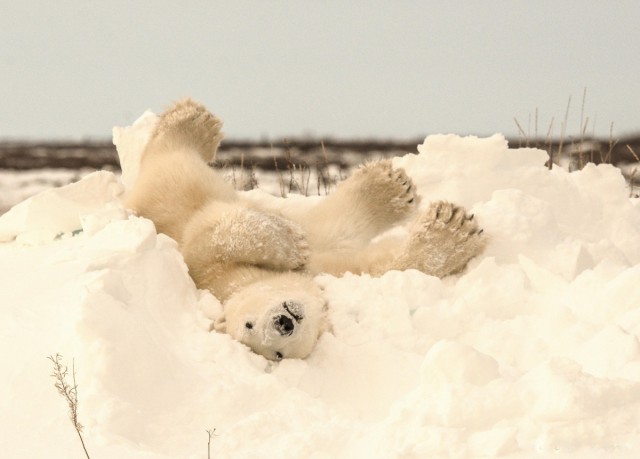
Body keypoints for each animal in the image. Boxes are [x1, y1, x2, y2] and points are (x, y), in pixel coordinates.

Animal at [125, 99, 484, 362]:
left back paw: (193, 120)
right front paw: (451, 233)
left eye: (249, 321)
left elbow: (206, 236)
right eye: (276, 354)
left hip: (172, 189)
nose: (282, 323)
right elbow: (378, 264)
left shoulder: (215, 269)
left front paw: (292, 242)